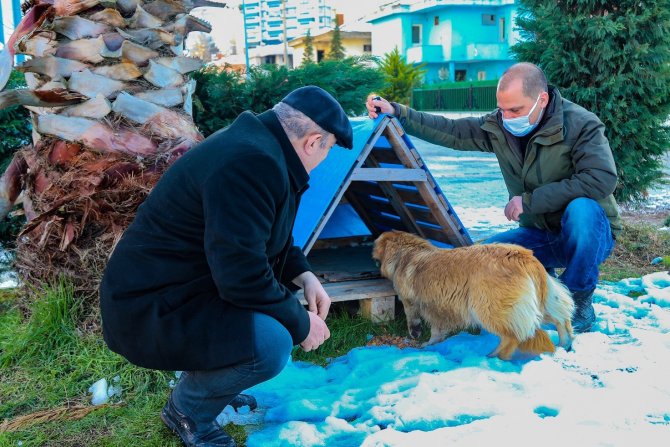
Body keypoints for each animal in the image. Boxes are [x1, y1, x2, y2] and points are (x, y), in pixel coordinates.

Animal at [372, 231, 576, 360]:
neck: (407, 252)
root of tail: (524, 257)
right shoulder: (437, 309)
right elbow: (437, 329)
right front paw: (432, 343)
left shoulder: (413, 302)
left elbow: (414, 319)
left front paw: (420, 338)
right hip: (542, 302)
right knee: (561, 319)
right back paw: (564, 343)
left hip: (487, 308)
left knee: (513, 337)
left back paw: (495, 356)